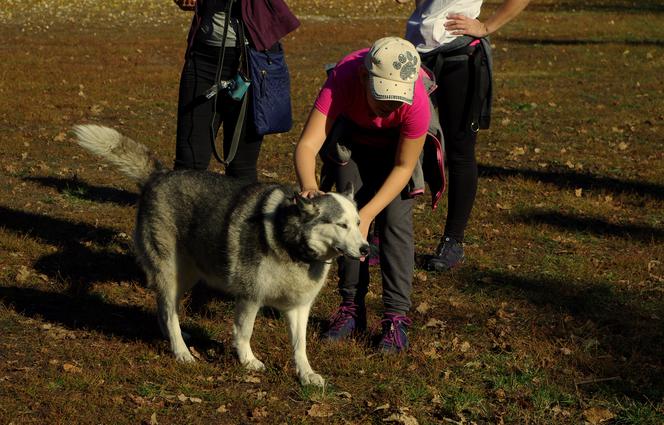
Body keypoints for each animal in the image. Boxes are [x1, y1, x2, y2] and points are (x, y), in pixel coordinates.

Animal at [76, 124, 374, 386]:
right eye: (342, 225)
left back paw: (177, 337)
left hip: (187, 275)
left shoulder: (299, 307)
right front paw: (248, 361)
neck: (294, 247)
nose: (366, 249)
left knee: (164, 309)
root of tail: (159, 176)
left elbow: (299, 346)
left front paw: (306, 374)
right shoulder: (250, 297)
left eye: (359, 223)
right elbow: (244, 332)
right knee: (169, 311)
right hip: (171, 273)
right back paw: (181, 351)